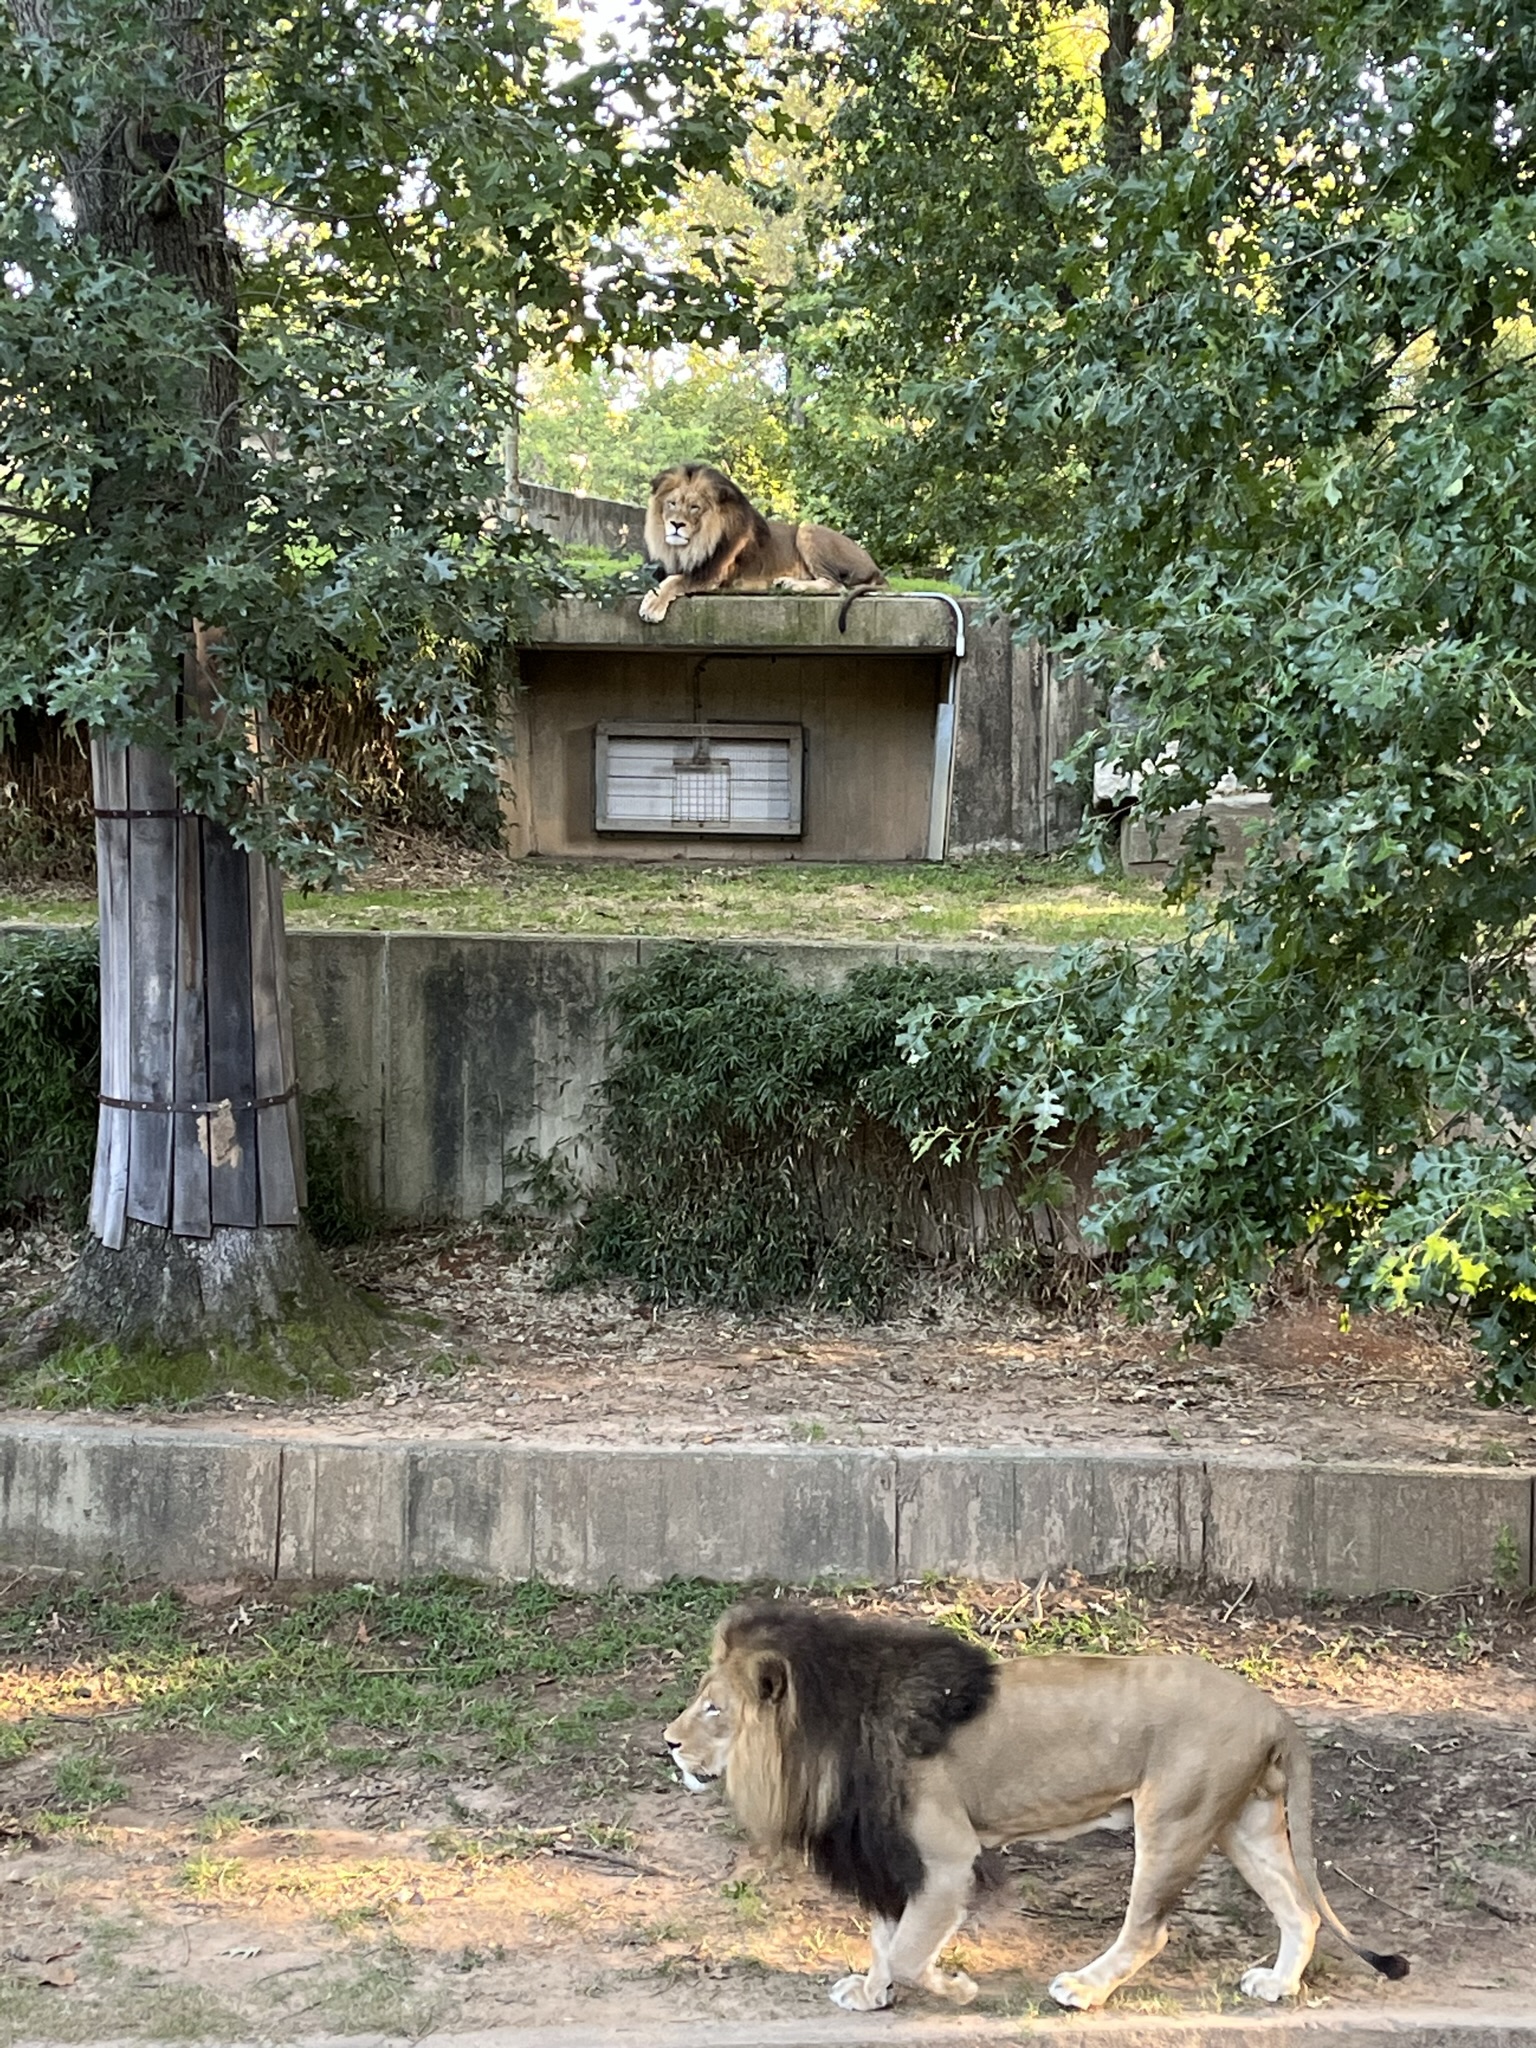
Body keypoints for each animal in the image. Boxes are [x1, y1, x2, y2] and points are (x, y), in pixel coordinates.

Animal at [637, 464, 885, 630]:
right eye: (672, 504)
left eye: (694, 507)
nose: (676, 524)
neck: (688, 545)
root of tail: (876, 569)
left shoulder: (713, 572)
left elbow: (675, 581)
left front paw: (653, 606)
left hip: (807, 529)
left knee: (835, 584)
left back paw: (792, 584)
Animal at [664, 1600, 1409, 2014]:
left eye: (714, 1709)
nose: (667, 1742)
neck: (822, 1739)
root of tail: (1273, 1709)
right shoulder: (890, 1857)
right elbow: (885, 1939)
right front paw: (874, 1993)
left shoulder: (946, 1855)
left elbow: (908, 1949)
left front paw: (952, 1988)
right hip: (1243, 1826)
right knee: (1300, 1909)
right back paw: (1278, 1986)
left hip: (1174, 1818)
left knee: (1149, 1930)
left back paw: (1084, 1989)